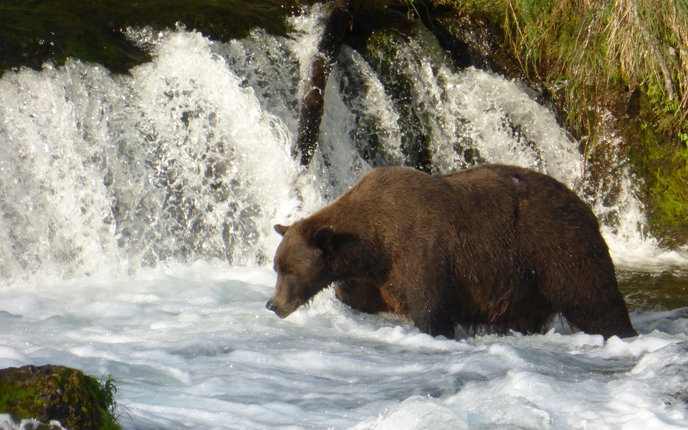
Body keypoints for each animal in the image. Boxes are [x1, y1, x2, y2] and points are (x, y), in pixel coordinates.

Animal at [266, 164, 636, 340]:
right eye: (277, 267)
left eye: (289, 270)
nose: (273, 305)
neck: (373, 243)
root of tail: (587, 207)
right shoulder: (373, 277)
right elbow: (355, 297)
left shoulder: (420, 252)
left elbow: (431, 310)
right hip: (526, 282)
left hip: (559, 250)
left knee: (596, 302)